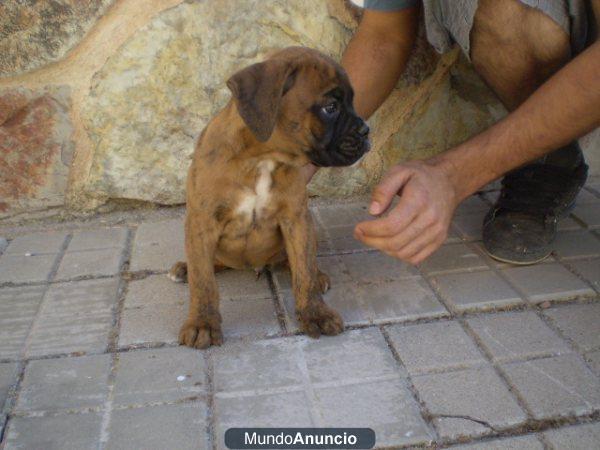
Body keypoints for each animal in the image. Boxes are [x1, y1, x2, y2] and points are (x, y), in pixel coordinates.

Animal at [166, 46, 368, 348]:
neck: (262, 159)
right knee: (209, 264)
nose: (367, 131)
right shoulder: (202, 222)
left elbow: (304, 271)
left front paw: (315, 312)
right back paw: (185, 268)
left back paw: (316, 275)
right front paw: (202, 323)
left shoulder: (297, 219)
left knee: (299, 262)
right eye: (330, 108)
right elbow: (204, 282)